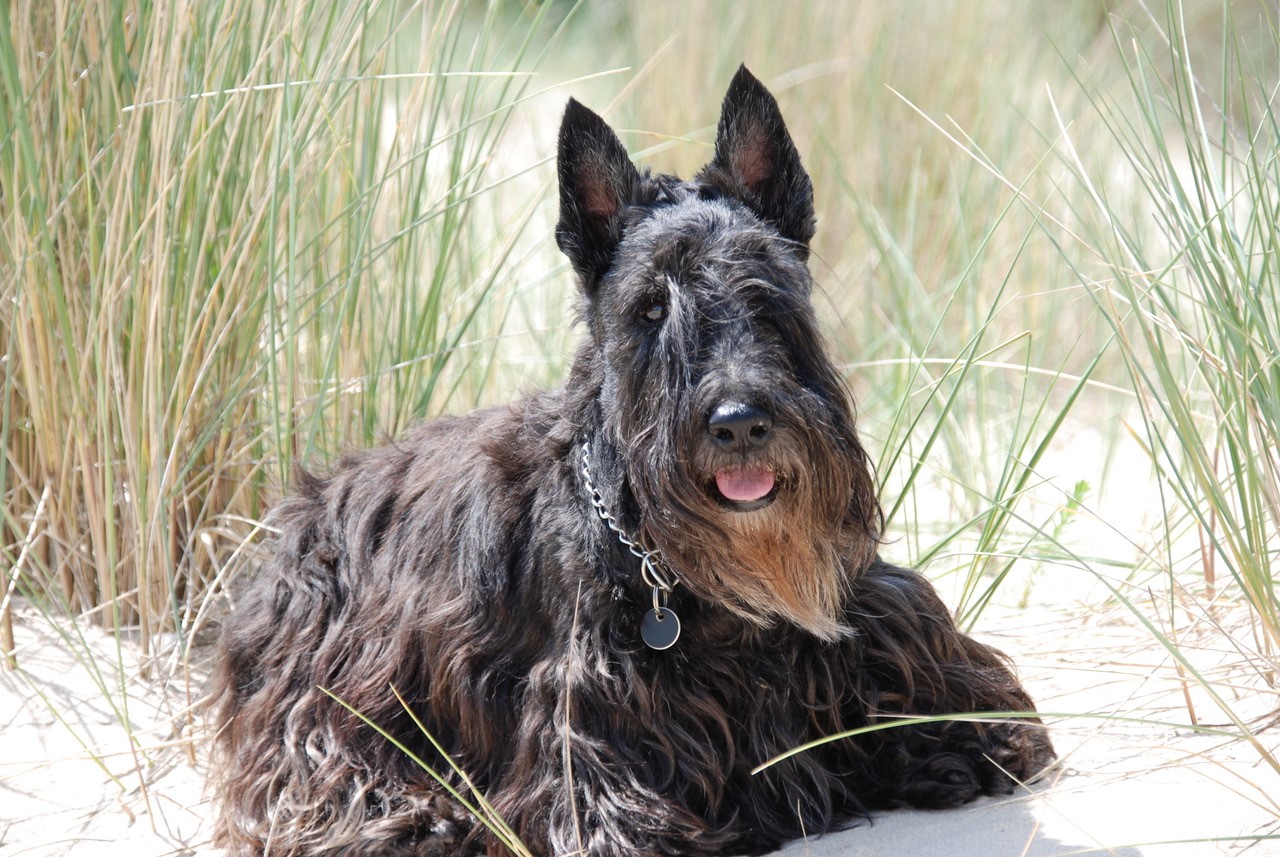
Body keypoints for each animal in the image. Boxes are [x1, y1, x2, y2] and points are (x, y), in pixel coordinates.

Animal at [209, 67, 1049, 857]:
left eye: (766, 295)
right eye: (649, 308)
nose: (740, 424)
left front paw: (952, 748)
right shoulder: (591, 737)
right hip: (325, 689)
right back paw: (422, 819)